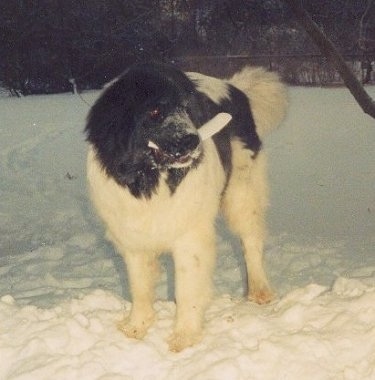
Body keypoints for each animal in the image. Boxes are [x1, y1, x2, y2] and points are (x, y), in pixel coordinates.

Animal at [85, 62, 286, 350]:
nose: (192, 140)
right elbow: (139, 284)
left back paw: (259, 290)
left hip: (242, 192)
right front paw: (137, 327)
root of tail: (235, 87)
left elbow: (187, 287)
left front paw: (184, 337)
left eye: (188, 109)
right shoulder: (131, 236)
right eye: (155, 111)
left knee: (251, 241)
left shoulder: (190, 237)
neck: (152, 179)